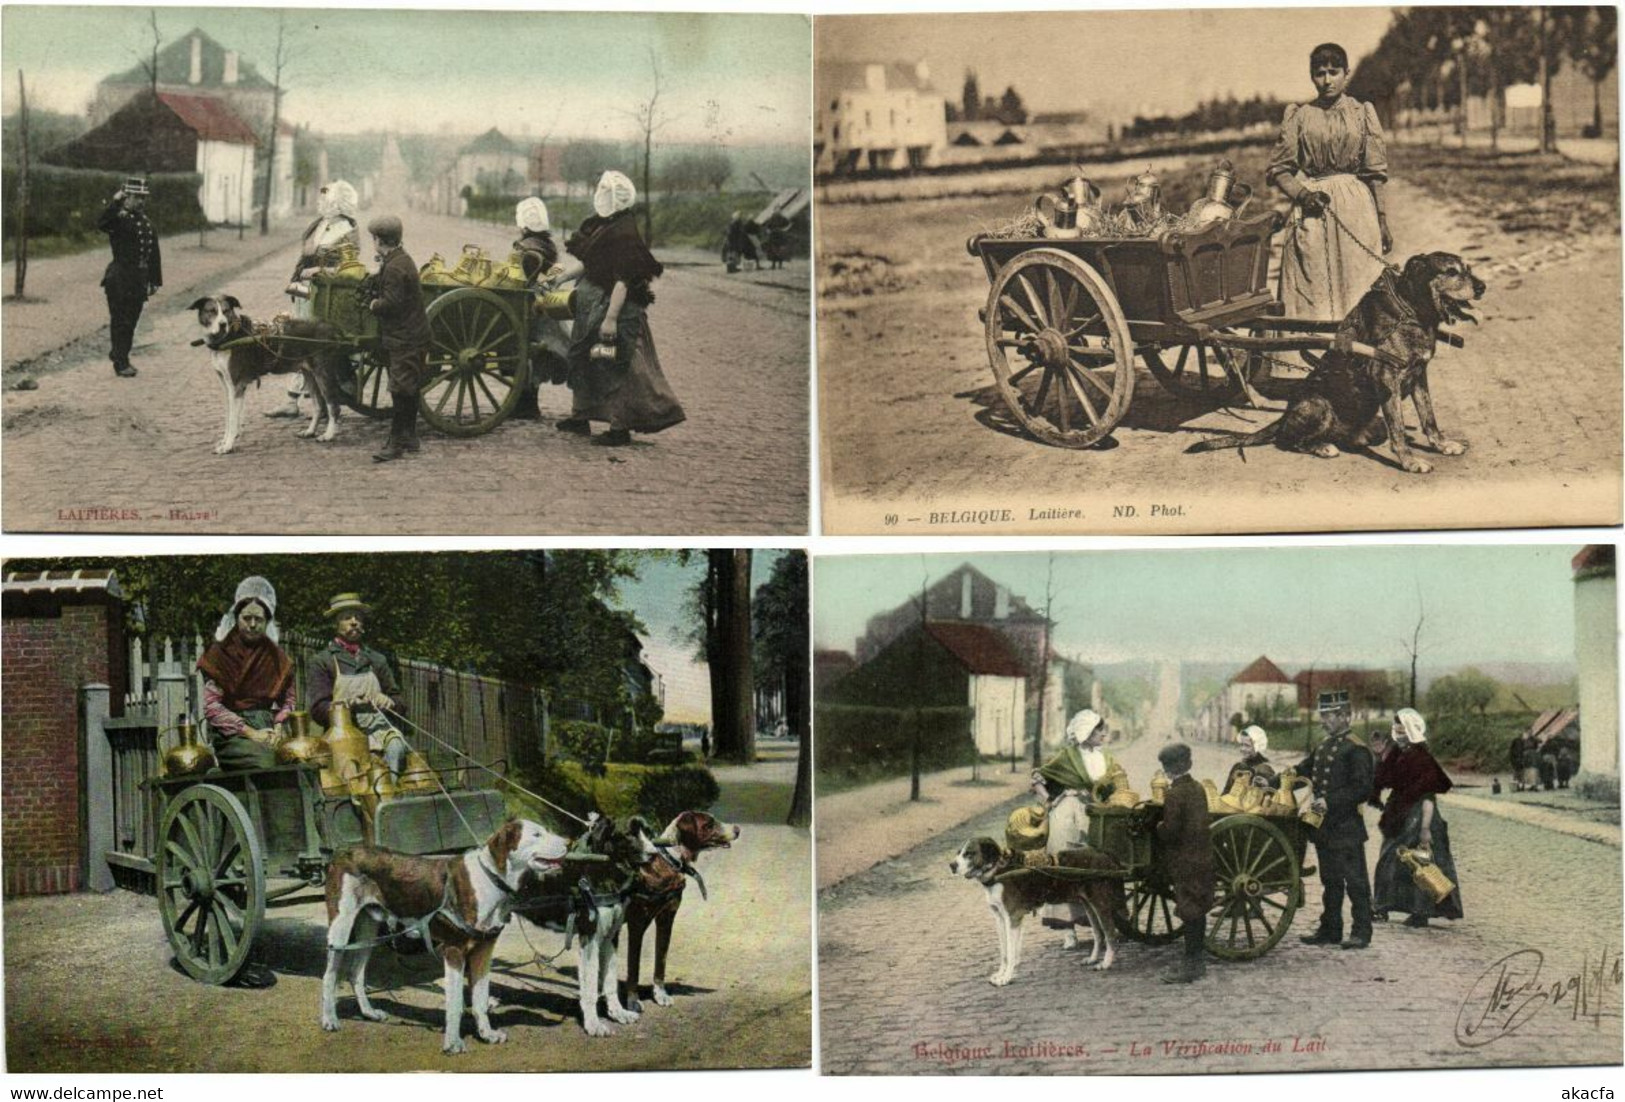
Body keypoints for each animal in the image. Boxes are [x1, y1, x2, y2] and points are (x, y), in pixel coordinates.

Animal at [187, 295, 346, 455]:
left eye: (226, 311)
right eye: (211, 311)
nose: (222, 324)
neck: (231, 336)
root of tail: (331, 327)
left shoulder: (237, 386)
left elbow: (232, 419)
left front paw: (228, 445)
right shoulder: (227, 386)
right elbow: (229, 416)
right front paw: (226, 441)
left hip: (323, 373)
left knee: (333, 405)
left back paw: (328, 435)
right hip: (309, 375)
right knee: (318, 405)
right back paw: (310, 431)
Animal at [320, 825, 568, 1059]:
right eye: (536, 834)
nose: (569, 842)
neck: (488, 880)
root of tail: (342, 850)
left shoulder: (483, 952)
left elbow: (480, 1000)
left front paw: (486, 1034)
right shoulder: (454, 951)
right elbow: (455, 1004)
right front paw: (453, 1043)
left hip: (368, 930)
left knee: (355, 973)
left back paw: (369, 1013)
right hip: (340, 928)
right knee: (329, 975)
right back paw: (329, 1019)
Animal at [1183, 255, 1488, 474]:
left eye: (1468, 268)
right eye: (1451, 271)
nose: (1482, 287)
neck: (1410, 311)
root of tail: (1284, 416)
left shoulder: (1419, 375)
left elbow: (1429, 418)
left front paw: (1442, 445)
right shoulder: (1387, 379)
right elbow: (1400, 430)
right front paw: (1410, 462)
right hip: (1317, 404)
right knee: (1288, 440)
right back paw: (1322, 447)